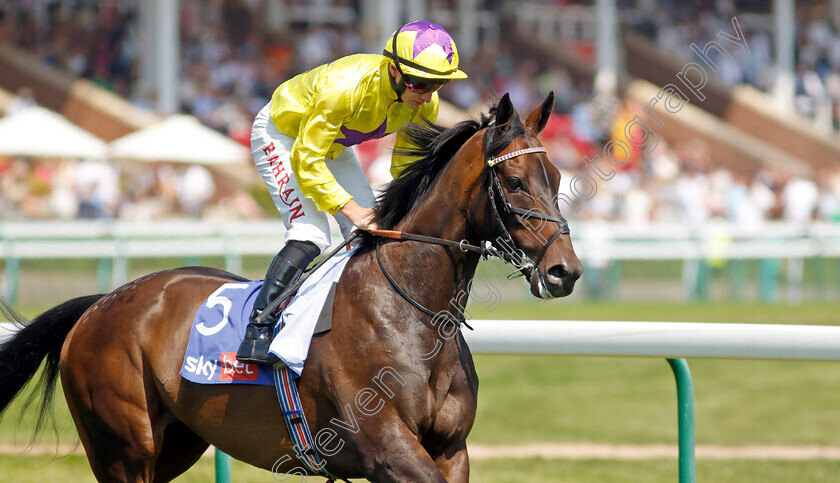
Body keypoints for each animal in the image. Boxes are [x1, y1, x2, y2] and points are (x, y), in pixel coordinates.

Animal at [0, 92, 576, 482]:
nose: (564, 271)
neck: (411, 314)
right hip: (123, 446)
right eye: (516, 182)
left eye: (556, 177)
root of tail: (100, 304)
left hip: (177, 441)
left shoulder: (451, 450)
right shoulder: (390, 451)